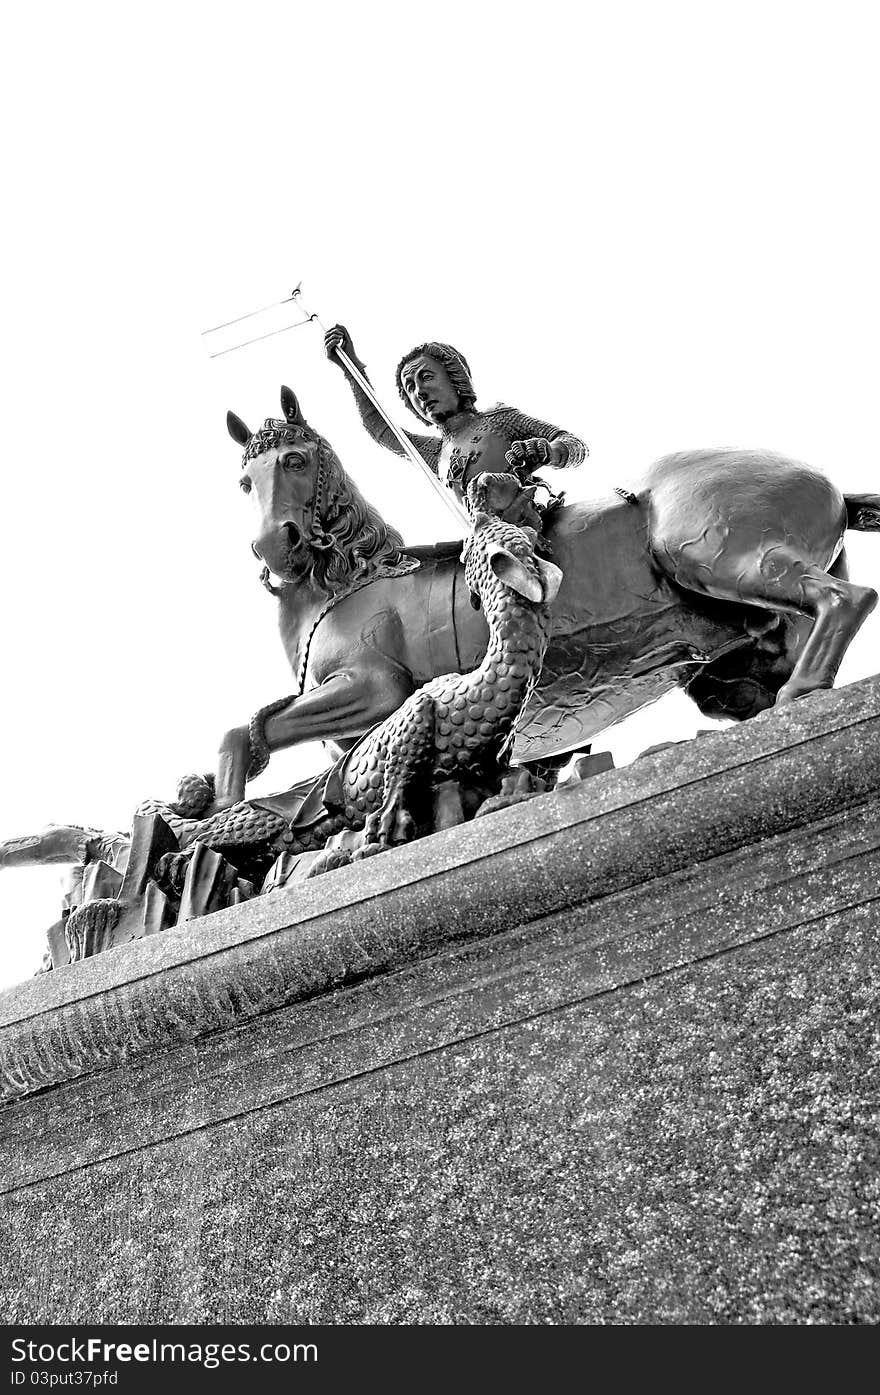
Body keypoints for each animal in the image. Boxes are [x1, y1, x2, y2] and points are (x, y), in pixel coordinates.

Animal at [223, 387, 875, 792]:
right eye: (244, 480)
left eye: (297, 459)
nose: (275, 545)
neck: (351, 580)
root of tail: (832, 486)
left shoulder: (373, 688)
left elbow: (237, 736)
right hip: (734, 654)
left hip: (718, 555)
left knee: (848, 600)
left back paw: (801, 695)